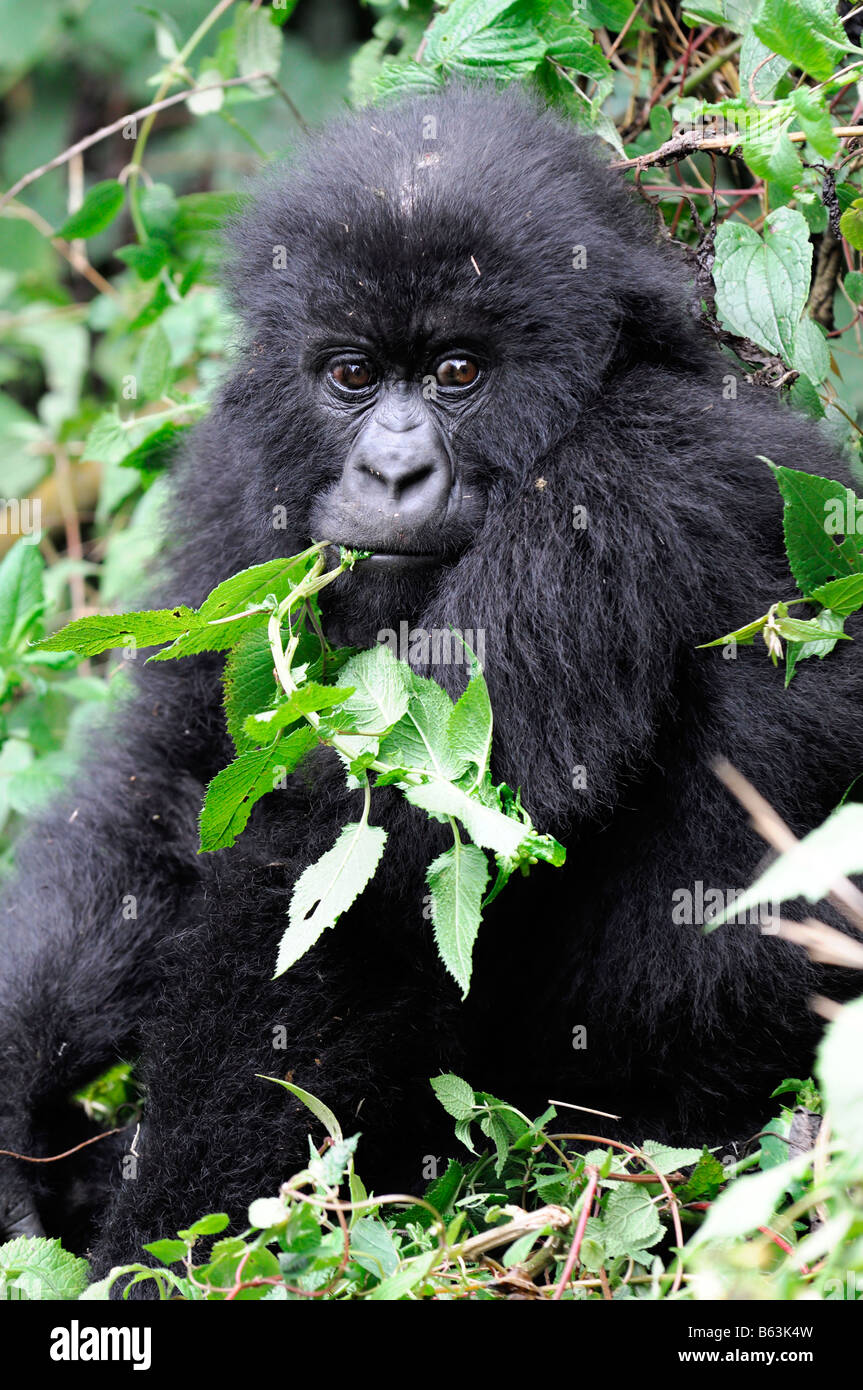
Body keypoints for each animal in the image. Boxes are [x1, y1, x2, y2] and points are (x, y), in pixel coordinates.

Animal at [1, 86, 861, 1273]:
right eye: (352, 375)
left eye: (458, 373)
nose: (393, 470)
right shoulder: (242, 467)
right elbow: (176, 778)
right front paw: (12, 1100)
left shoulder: (624, 481)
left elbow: (374, 882)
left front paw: (160, 1254)